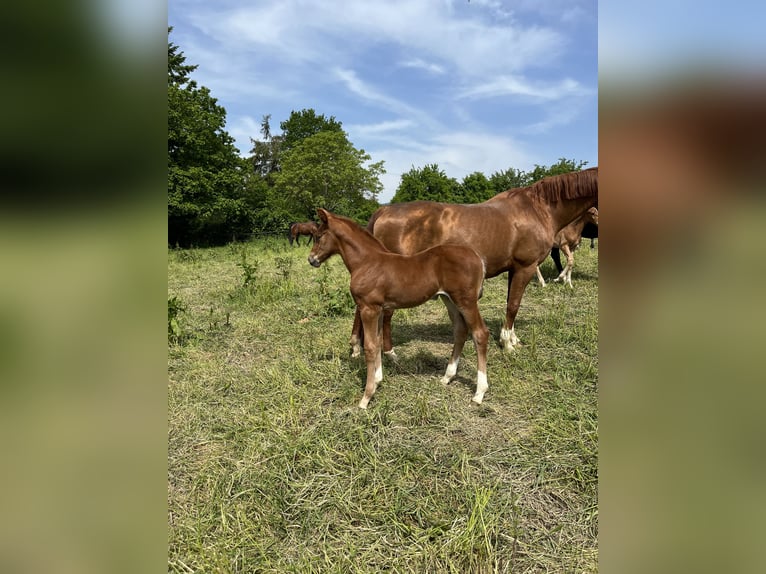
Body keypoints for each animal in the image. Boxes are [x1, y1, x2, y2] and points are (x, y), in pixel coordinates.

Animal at [308, 209, 492, 412]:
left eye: (318, 236)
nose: (311, 259)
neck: (366, 262)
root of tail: (477, 257)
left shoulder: (368, 308)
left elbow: (370, 347)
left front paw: (366, 396)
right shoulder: (379, 309)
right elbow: (378, 342)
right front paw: (378, 380)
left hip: (466, 301)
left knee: (480, 333)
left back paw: (479, 393)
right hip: (449, 300)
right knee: (460, 331)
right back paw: (447, 377)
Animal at [354, 166, 600, 356]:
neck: (538, 209)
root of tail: (384, 210)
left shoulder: (514, 269)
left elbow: (511, 303)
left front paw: (512, 338)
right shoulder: (526, 267)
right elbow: (514, 305)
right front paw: (507, 344)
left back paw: (357, 347)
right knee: (384, 314)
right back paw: (388, 352)